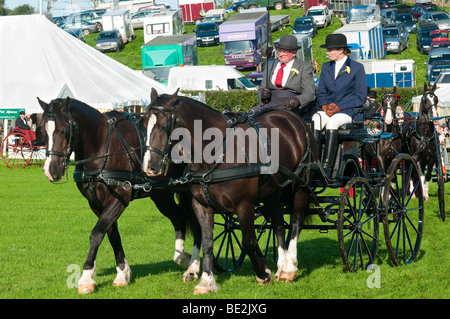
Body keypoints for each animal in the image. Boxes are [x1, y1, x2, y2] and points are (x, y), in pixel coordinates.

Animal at [37, 97, 200, 296]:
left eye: (62, 130)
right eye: (43, 130)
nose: (51, 171)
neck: (102, 147)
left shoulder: (120, 197)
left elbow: (96, 234)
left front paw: (86, 278)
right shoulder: (96, 203)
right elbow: (112, 235)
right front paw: (122, 273)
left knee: (197, 224)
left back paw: (193, 267)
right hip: (161, 195)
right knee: (178, 218)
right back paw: (181, 257)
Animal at [141, 89, 316, 294]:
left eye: (163, 126)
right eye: (144, 125)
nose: (149, 167)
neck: (215, 153)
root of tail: (292, 117)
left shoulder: (244, 205)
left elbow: (248, 242)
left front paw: (262, 274)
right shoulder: (201, 205)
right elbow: (207, 241)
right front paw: (206, 281)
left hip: (301, 185)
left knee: (296, 220)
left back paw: (289, 267)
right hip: (272, 191)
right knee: (278, 223)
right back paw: (281, 265)